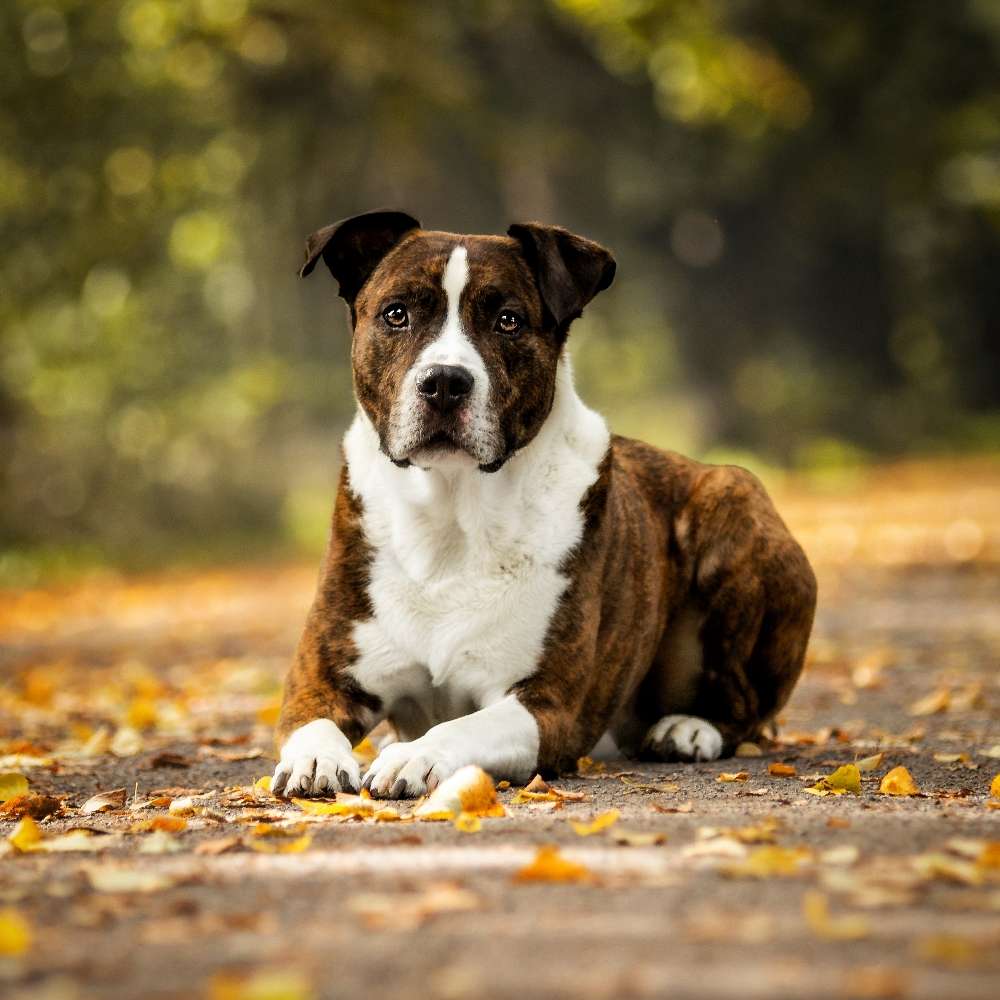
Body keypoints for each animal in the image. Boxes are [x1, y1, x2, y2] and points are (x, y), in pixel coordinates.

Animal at [270, 209, 816, 796]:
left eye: (508, 321)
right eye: (397, 314)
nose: (444, 382)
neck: (451, 515)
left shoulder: (546, 705)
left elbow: (463, 726)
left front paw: (415, 756)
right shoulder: (318, 680)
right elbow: (311, 723)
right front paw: (317, 759)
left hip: (732, 496)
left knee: (745, 704)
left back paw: (691, 729)